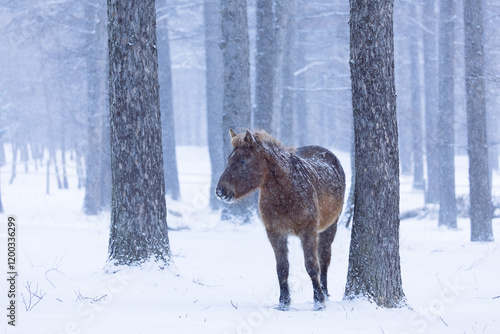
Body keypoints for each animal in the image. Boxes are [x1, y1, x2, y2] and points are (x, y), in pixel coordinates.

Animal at [217, 130, 346, 310]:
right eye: (229, 158)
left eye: (242, 160)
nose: (220, 191)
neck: (286, 192)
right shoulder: (275, 233)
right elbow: (282, 268)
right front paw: (284, 302)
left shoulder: (308, 232)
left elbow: (312, 266)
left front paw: (319, 301)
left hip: (330, 227)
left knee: (324, 259)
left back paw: (325, 292)